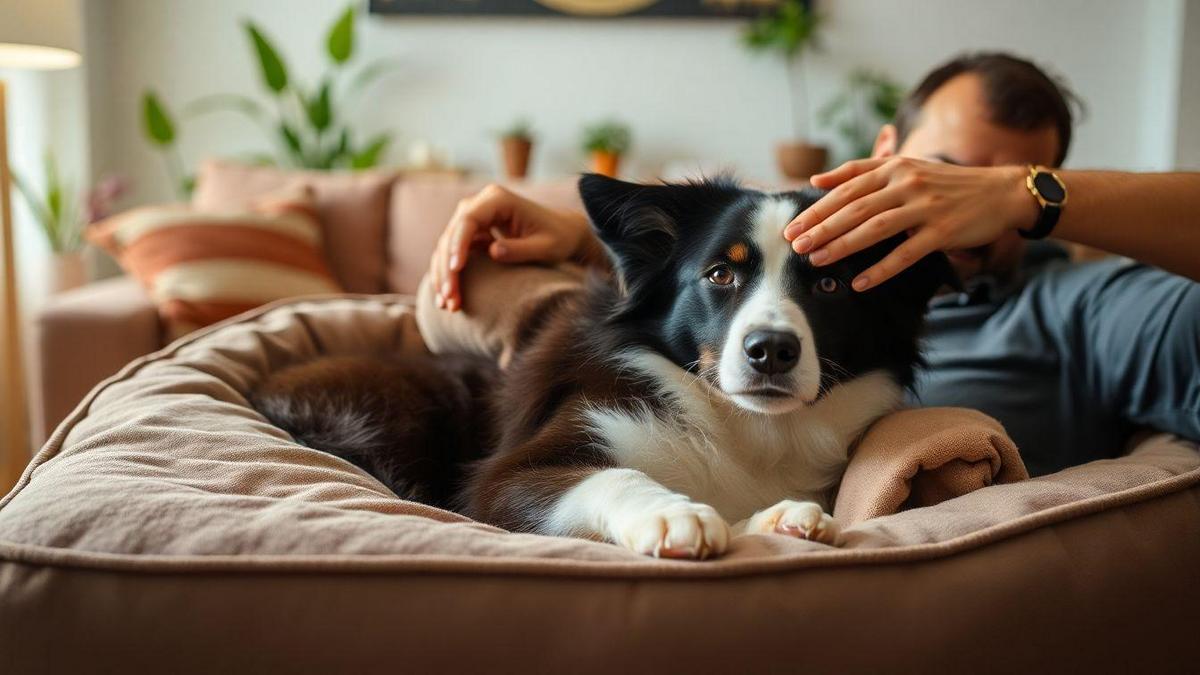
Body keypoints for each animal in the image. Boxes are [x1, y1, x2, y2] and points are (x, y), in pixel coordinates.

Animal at [255, 172, 955, 557]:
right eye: (720, 274)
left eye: (830, 285)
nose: (770, 351)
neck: (741, 427)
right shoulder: (499, 482)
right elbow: (610, 476)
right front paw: (674, 514)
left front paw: (779, 519)